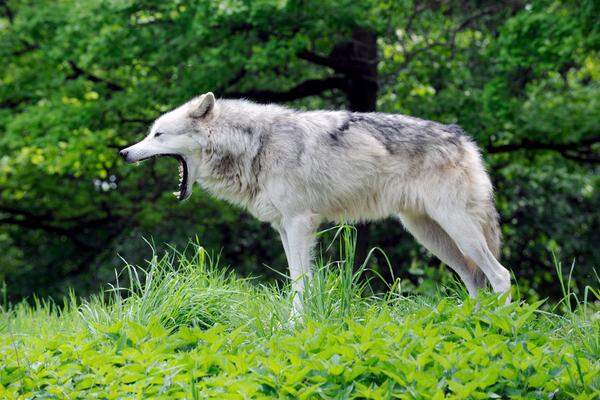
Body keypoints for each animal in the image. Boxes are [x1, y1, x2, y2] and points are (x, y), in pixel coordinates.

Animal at [120, 92, 510, 308]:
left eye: (157, 134)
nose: (123, 152)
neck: (255, 144)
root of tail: (465, 140)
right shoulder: (283, 228)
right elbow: (296, 280)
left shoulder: (300, 224)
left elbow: (301, 282)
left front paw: (295, 327)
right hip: (432, 236)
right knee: (476, 282)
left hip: (458, 231)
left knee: (501, 275)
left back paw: (499, 327)